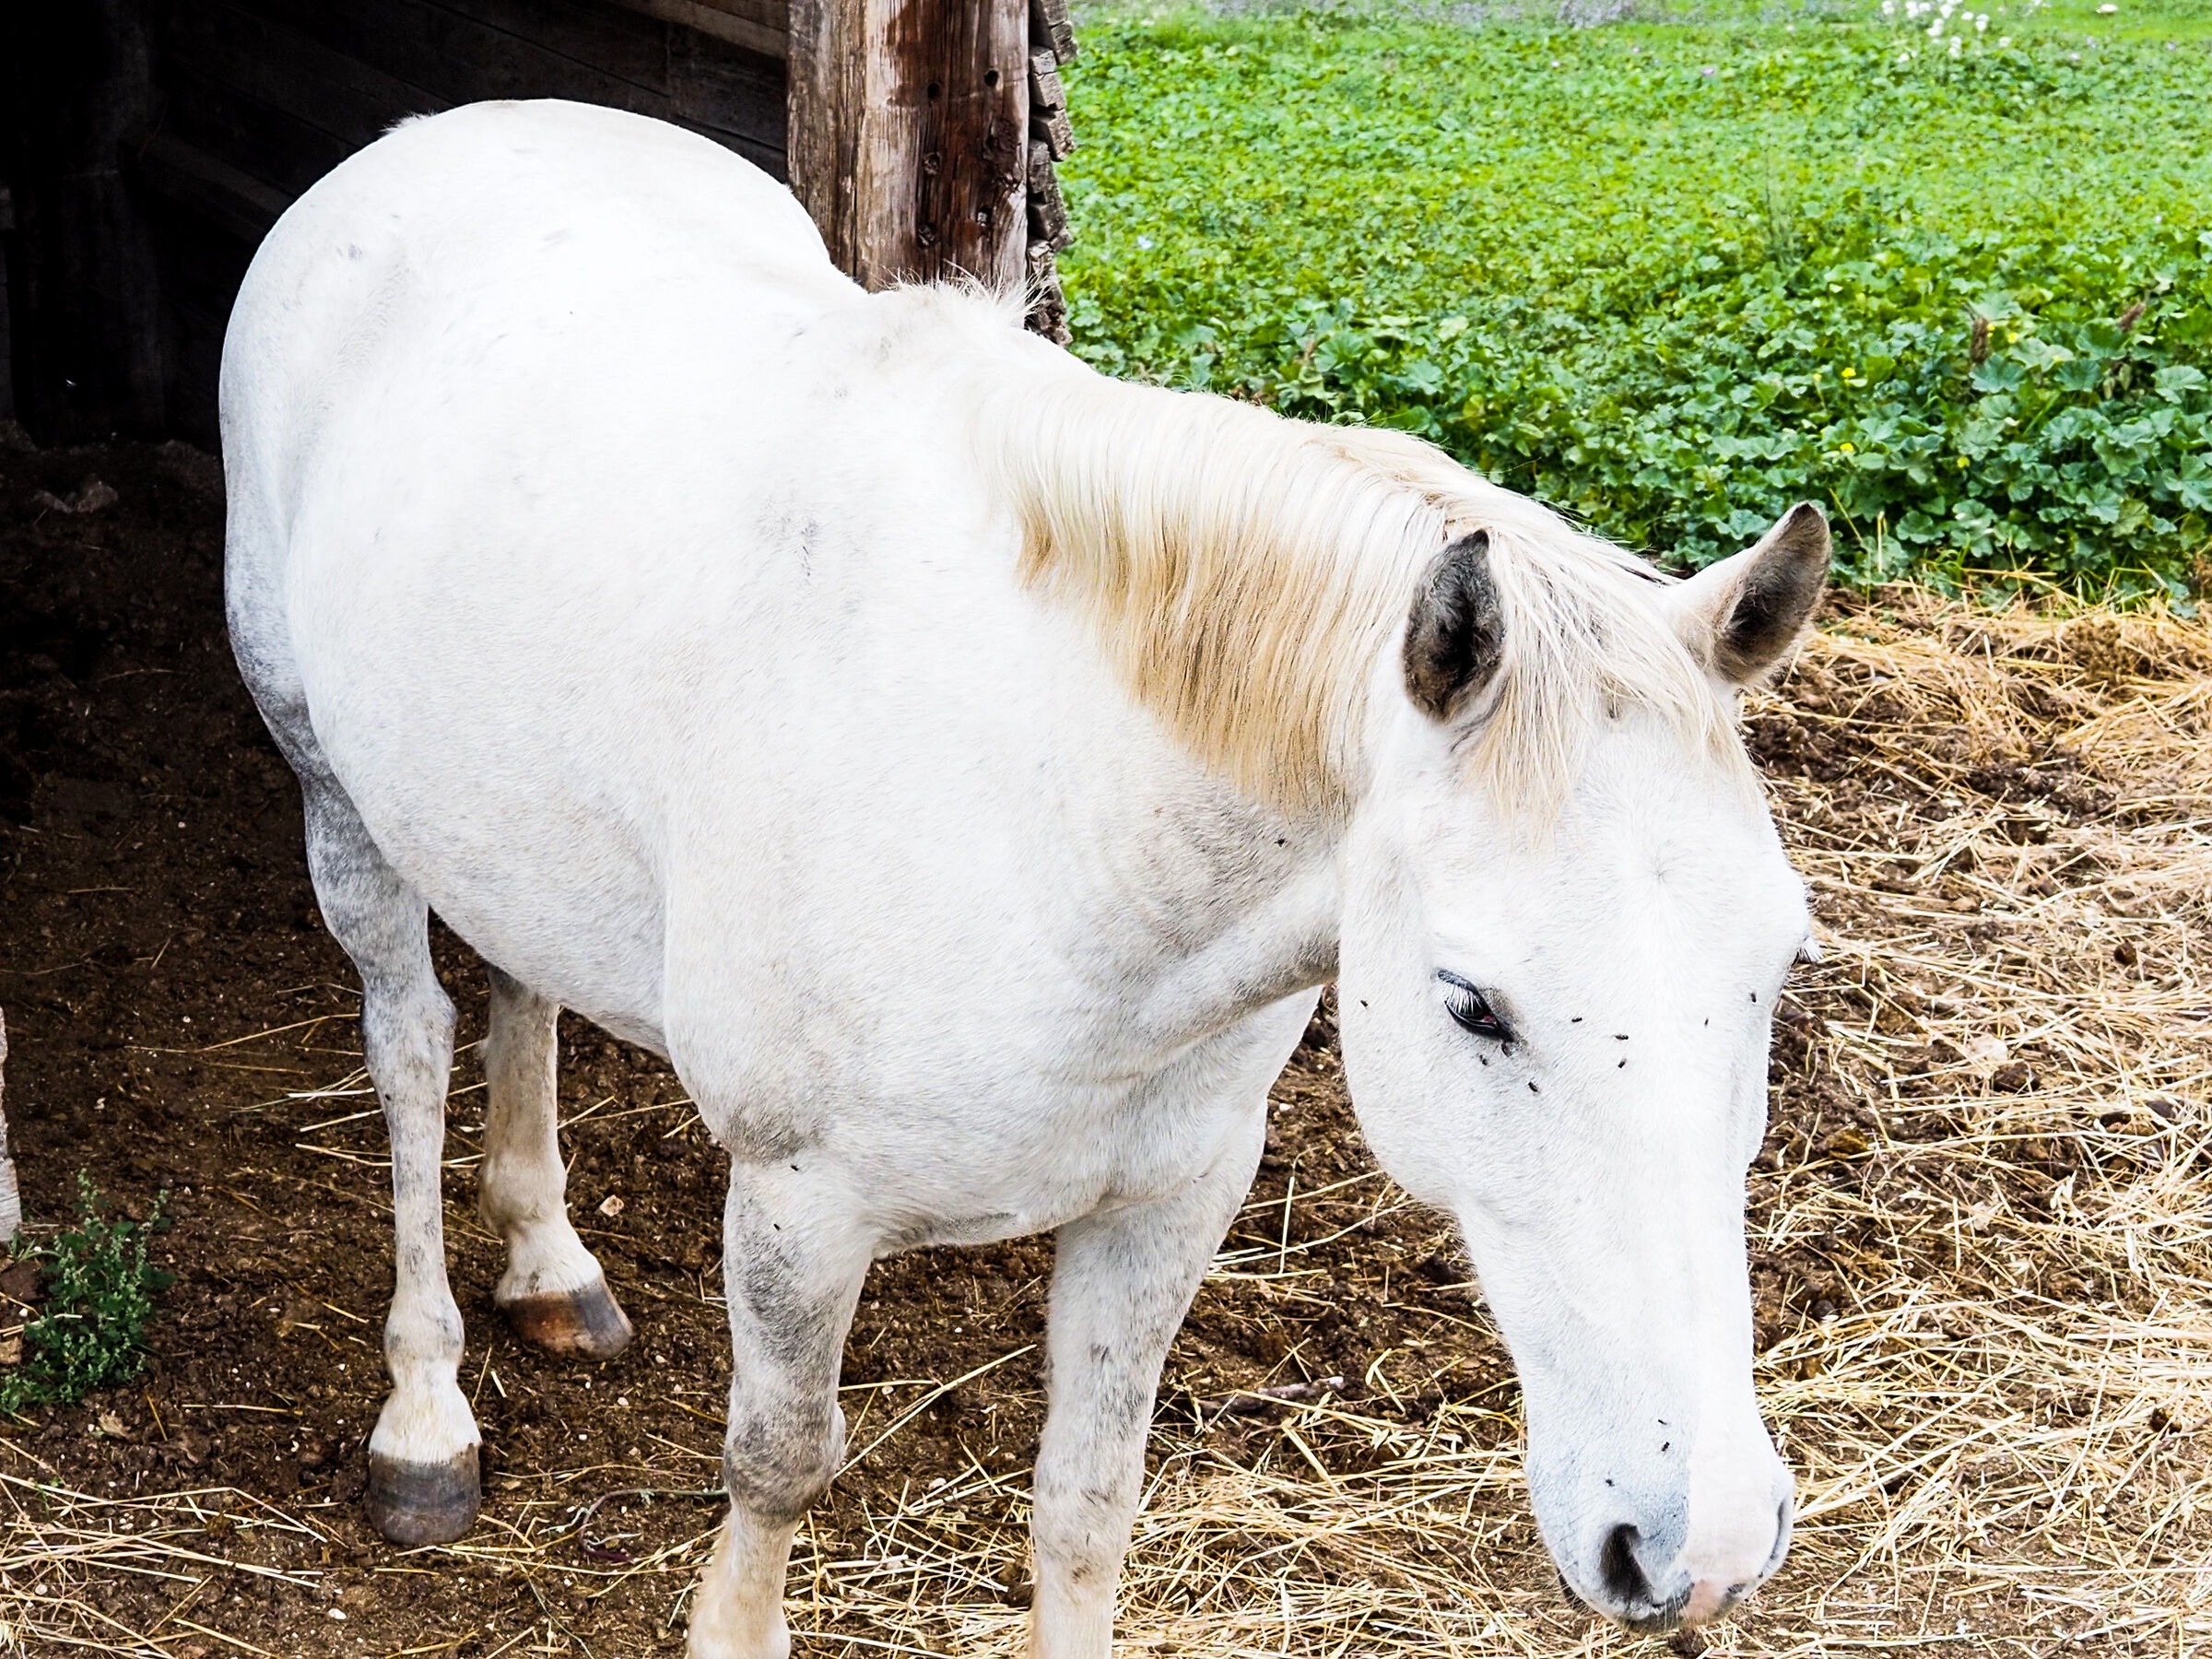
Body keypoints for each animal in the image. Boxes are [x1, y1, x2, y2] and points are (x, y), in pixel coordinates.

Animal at [222, 99, 1825, 1658]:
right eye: (1471, 1005)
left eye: (1774, 973)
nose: (1700, 1549)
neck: (1061, 820)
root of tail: (426, 138)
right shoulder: (801, 1208)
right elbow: (781, 1465)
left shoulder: (1165, 1207)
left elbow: (1087, 1503)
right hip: (334, 788)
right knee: (411, 1048)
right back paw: (424, 1419)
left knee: (523, 984)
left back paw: (551, 1267)